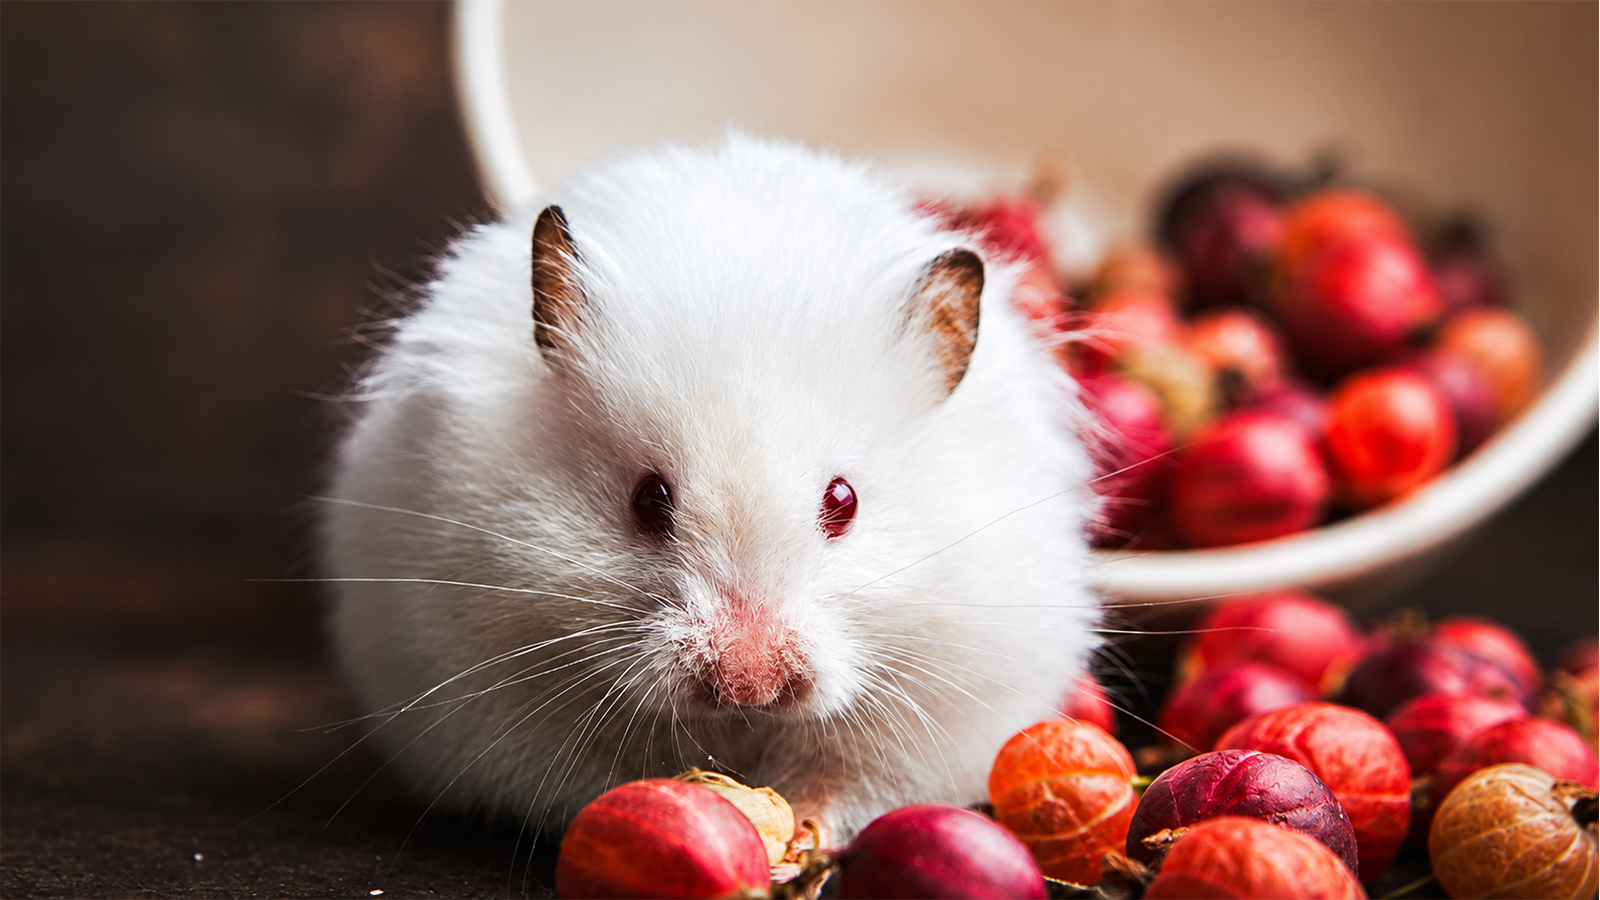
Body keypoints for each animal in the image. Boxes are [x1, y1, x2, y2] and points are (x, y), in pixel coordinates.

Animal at [321, 134, 1101, 840]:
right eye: (647, 501)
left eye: (843, 501)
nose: (748, 685)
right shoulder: (488, 684)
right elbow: (605, 776)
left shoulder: (943, 704)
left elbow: (846, 783)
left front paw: (801, 833)